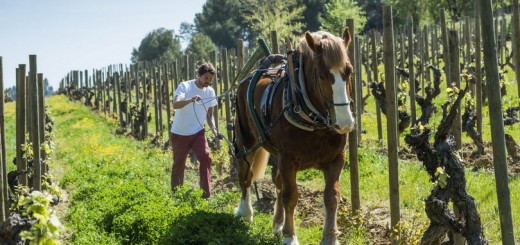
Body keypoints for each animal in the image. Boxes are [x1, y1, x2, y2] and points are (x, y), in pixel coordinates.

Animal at [234, 27, 356, 244]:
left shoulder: (336, 159)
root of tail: (249, 76)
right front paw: (290, 236)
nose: (344, 122)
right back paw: (245, 212)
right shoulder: (288, 160)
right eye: (322, 75)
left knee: (278, 183)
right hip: (245, 142)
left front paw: (329, 237)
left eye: (348, 71)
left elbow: (331, 197)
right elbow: (290, 197)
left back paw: (277, 223)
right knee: (245, 175)